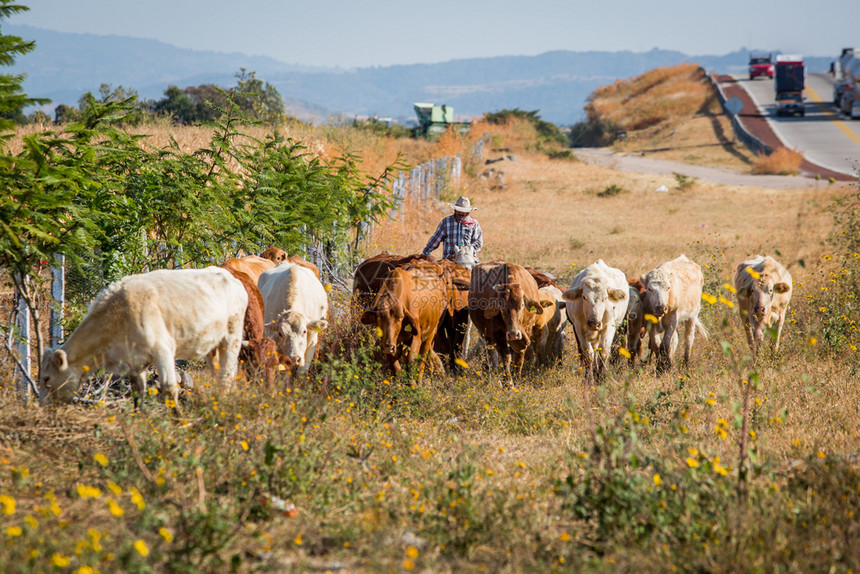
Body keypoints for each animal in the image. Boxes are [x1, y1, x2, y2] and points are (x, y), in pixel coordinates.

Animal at [40, 270, 249, 410]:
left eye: (46, 378)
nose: (42, 405)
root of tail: (234, 280)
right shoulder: (134, 362)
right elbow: (137, 393)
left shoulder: (162, 349)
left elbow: (169, 389)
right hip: (213, 347)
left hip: (232, 338)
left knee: (227, 377)